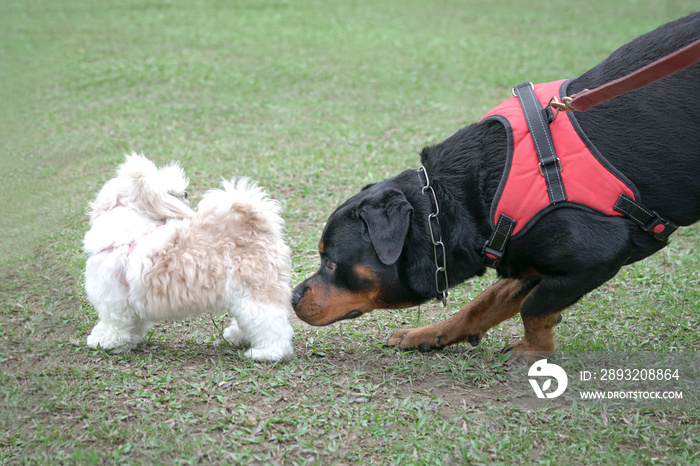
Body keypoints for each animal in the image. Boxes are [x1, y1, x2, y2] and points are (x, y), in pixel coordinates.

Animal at [83, 155, 294, 362]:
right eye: (172, 192)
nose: (185, 193)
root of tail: (259, 227)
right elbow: (135, 323)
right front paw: (128, 342)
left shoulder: (113, 300)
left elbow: (114, 324)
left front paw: (105, 340)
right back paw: (237, 336)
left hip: (255, 296)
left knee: (271, 325)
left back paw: (266, 353)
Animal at [292, 10, 700, 360]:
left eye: (331, 262)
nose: (293, 295)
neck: (457, 203)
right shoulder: (518, 250)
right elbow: (487, 301)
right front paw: (430, 333)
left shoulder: (600, 253)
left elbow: (533, 307)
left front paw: (535, 350)